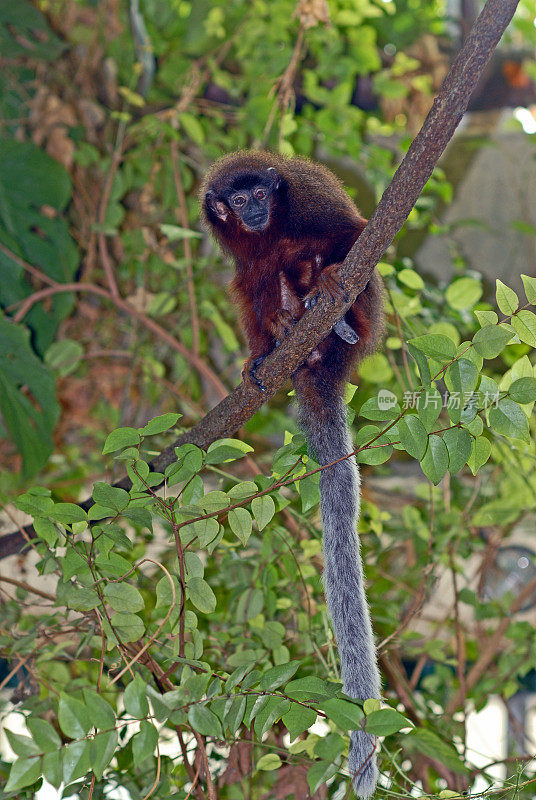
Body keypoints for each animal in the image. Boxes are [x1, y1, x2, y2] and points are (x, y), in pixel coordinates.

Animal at [200, 152, 382, 800]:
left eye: (261, 194)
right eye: (238, 200)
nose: (253, 209)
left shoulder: (305, 198)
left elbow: (352, 231)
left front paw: (328, 278)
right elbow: (246, 273)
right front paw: (259, 343)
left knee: (323, 258)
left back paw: (333, 313)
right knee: (259, 276)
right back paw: (278, 337)